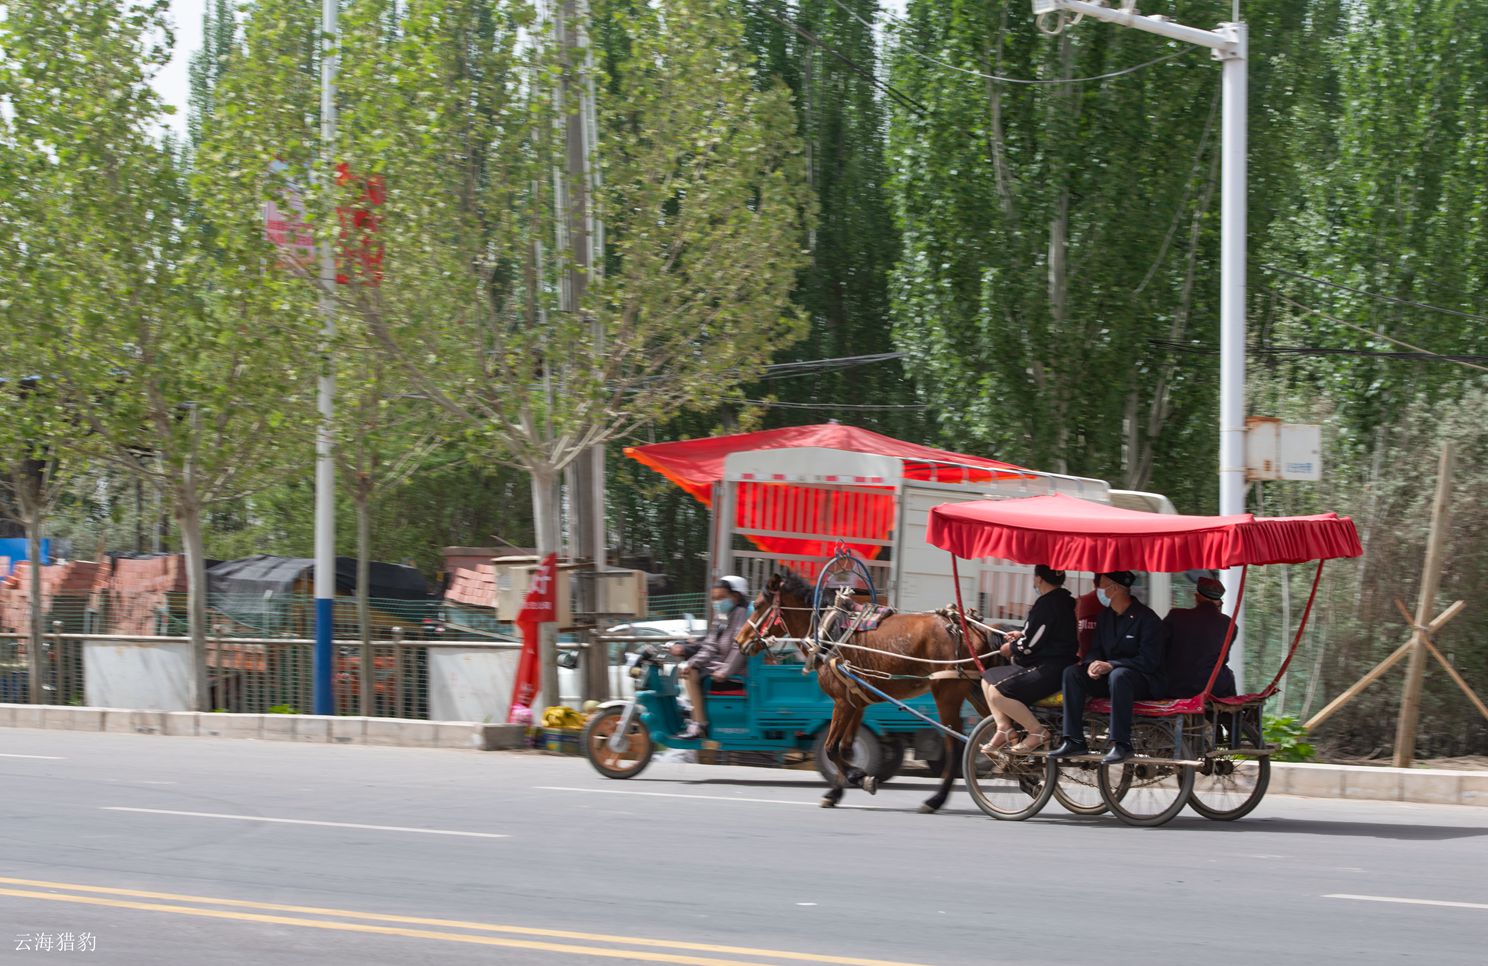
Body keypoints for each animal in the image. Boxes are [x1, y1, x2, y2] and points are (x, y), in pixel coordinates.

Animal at [735, 568, 993, 809]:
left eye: (758, 605)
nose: (739, 641)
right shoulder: (856, 702)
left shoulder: (841, 702)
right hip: (974, 691)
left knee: (957, 746)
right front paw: (836, 792)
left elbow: (831, 748)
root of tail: (973, 629)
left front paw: (859, 777)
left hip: (946, 694)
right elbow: (845, 748)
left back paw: (935, 800)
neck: (829, 632)